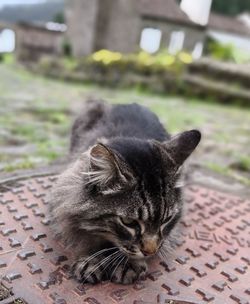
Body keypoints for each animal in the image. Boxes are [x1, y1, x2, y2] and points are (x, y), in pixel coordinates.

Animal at [48, 100, 201, 284]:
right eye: (128, 222)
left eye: (167, 220)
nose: (150, 251)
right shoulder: (64, 203)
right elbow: (85, 234)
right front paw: (92, 259)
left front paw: (129, 263)